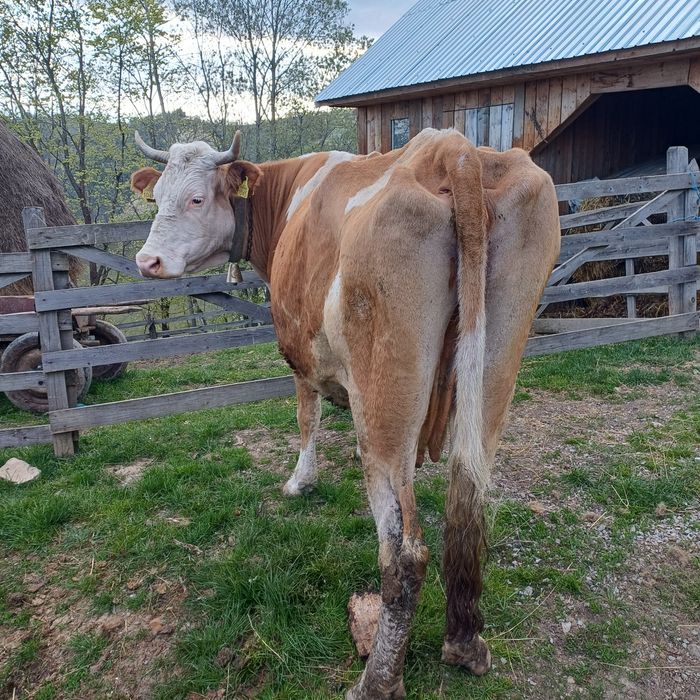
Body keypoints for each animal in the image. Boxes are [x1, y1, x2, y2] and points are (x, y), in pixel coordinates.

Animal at [131, 128, 560, 699]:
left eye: (197, 198)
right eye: (155, 197)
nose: (147, 261)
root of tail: (454, 150)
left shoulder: (301, 352)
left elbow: (306, 417)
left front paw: (300, 481)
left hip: (382, 402)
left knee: (404, 552)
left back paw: (377, 680)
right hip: (496, 365)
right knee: (467, 503)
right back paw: (464, 644)